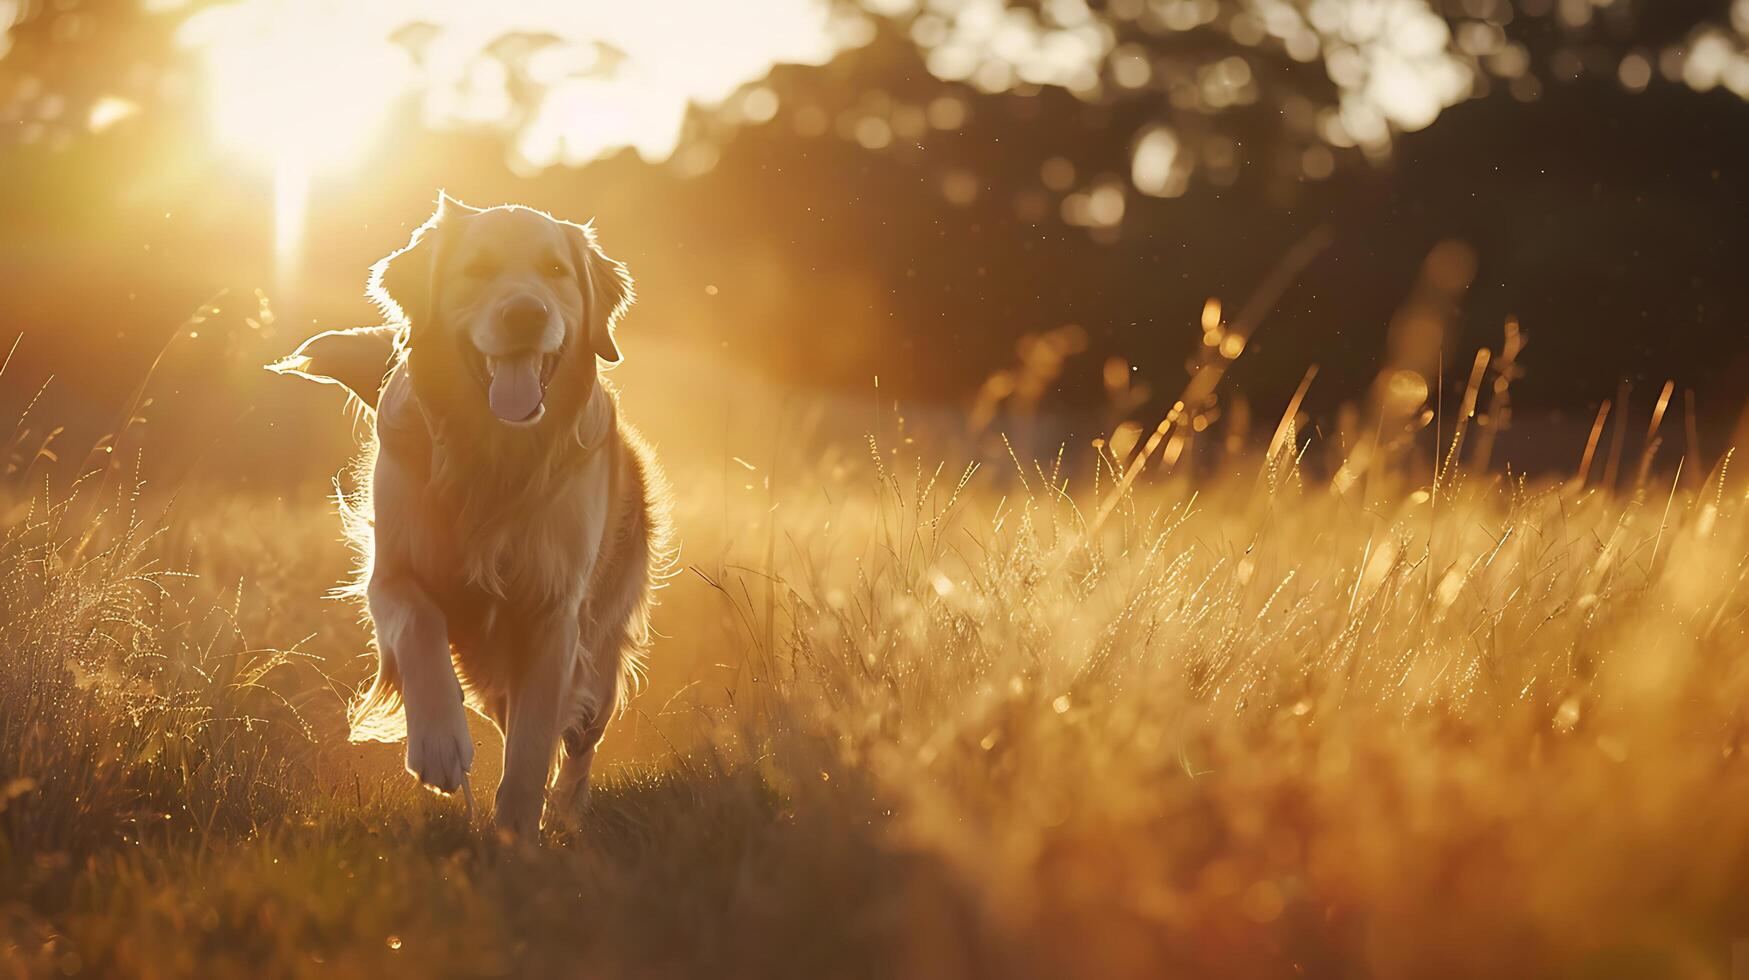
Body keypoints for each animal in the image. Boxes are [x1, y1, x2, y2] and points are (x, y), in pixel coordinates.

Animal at [271, 195, 668, 840]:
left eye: (556, 271)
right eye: (477, 269)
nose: (525, 314)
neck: (492, 457)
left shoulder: (554, 613)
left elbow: (532, 747)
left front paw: (517, 839)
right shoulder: (391, 576)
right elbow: (420, 628)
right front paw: (438, 743)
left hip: (601, 648)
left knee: (579, 736)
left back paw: (567, 811)